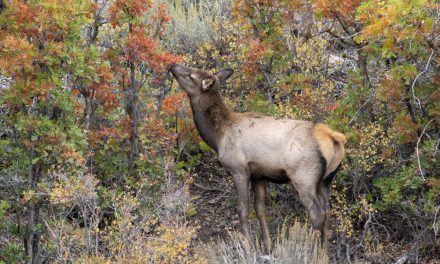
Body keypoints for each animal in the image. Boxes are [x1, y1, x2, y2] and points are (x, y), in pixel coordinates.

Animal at [170, 63, 346, 252]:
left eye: (191, 75)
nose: (173, 65)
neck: (217, 135)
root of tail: (333, 138)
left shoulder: (238, 169)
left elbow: (243, 210)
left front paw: (248, 247)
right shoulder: (258, 175)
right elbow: (260, 210)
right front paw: (268, 245)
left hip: (304, 178)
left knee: (317, 216)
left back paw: (313, 252)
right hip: (326, 180)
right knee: (328, 215)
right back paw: (324, 253)